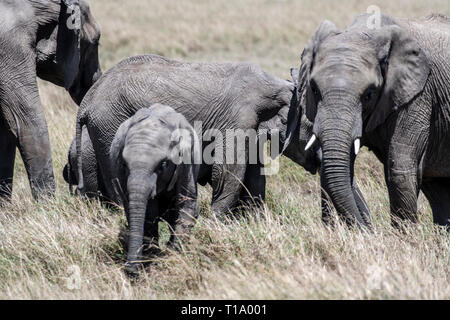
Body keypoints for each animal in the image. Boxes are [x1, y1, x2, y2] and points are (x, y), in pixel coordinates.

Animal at [75, 54, 318, 215]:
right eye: (312, 125)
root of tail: (88, 101)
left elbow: (254, 176)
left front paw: (254, 221)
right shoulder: (237, 117)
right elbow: (229, 171)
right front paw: (217, 223)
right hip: (110, 123)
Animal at [109, 104, 200, 276]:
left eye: (163, 164)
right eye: (124, 164)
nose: (130, 270)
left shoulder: (187, 160)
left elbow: (186, 203)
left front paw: (173, 255)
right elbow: (149, 213)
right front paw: (153, 257)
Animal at [288, 13, 450, 228]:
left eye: (369, 94)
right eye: (314, 89)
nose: (369, 228)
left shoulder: (418, 96)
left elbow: (399, 168)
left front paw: (405, 235)